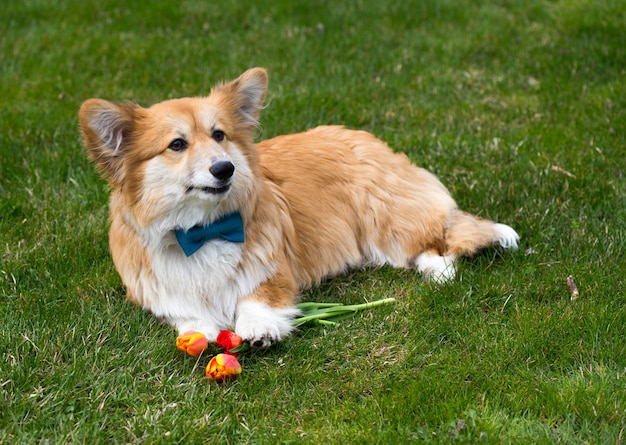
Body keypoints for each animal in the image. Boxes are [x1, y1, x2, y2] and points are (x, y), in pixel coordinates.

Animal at [78, 67, 516, 350]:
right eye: (177, 144)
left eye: (219, 135)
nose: (225, 168)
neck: (202, 230)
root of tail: (367, 138)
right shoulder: (161, 292)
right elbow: (187, 315)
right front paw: (199, 331)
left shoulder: (274, 271)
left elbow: (255, 297)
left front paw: (258, 328)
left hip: (386, 220)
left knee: (436, 238)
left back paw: (440, 270)